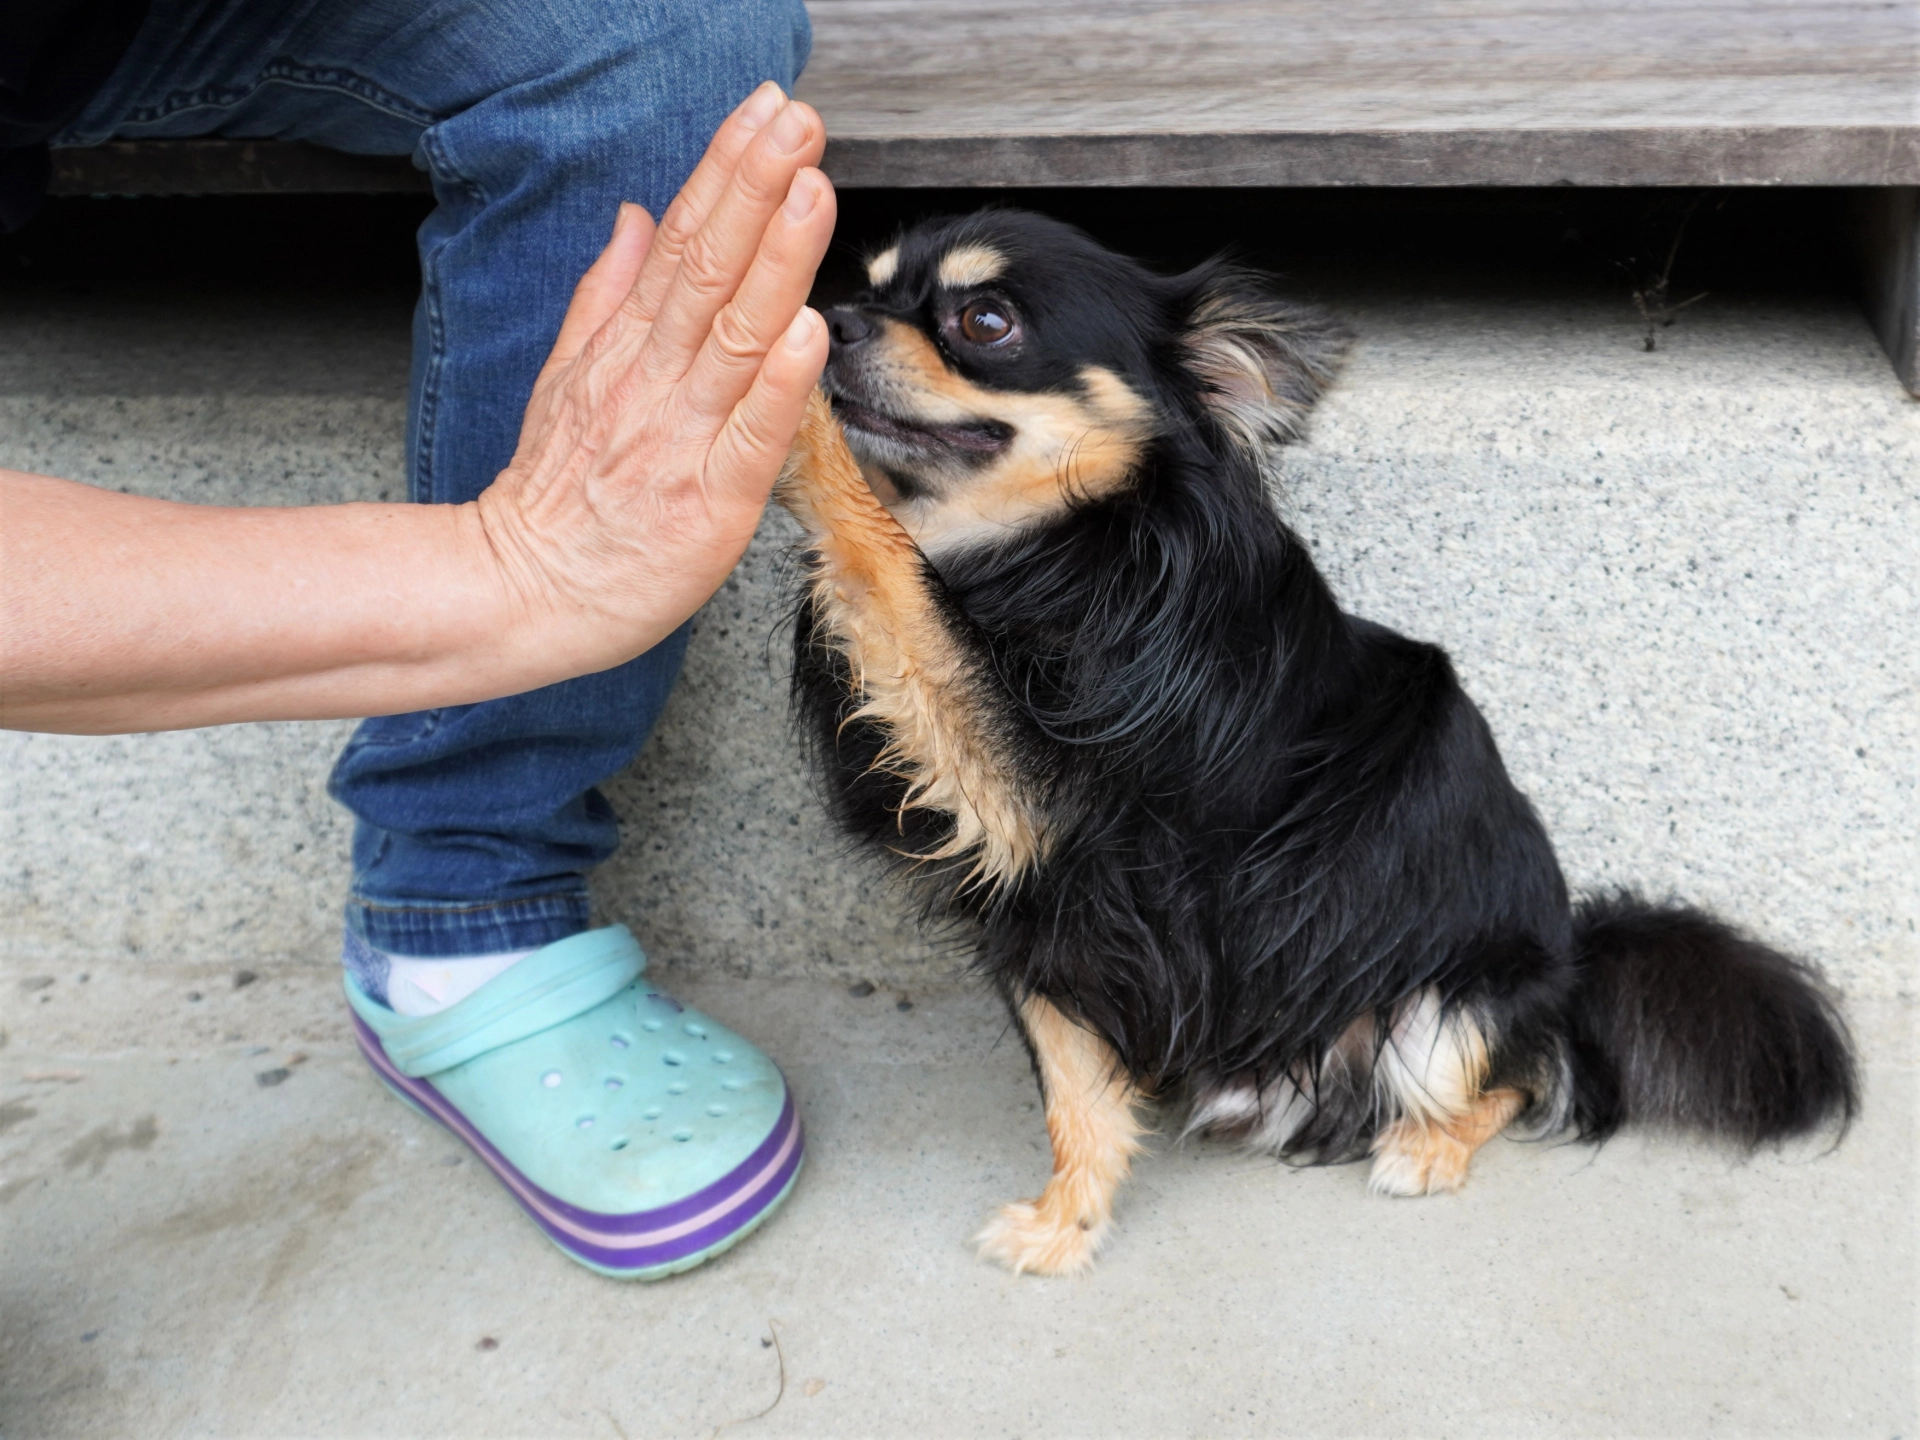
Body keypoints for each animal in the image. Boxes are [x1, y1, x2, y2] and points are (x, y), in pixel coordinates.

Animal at [771, 208, 1850, 1282]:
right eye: (867, 286)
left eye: (985, 320)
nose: (836, 320)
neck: (1053, 551)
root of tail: (1575, 959)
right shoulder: (1039, 910)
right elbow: (1076, 1097)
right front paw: (1067, 1224)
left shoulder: (1042, 794)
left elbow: (884, 558)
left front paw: (783, 391)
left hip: (1440, 1013)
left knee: (1525, 1080)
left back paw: (1427, 1146)